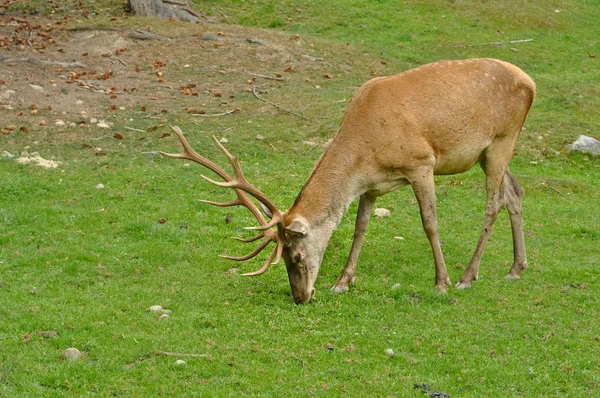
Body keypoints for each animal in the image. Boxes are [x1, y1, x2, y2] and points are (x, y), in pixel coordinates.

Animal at [162, 57, 536, 304]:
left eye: (295, 257)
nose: (300, 297)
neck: (366, 148)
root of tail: (530, 81)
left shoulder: (421, 163)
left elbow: (429, 223)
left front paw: (440, 282)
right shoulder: (372, 185)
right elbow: (360, 227)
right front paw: (342, 281)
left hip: (502, 138)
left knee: (493, 203)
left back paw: (466, 277)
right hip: (488, 152)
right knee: (516, 193)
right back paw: (516, 268)